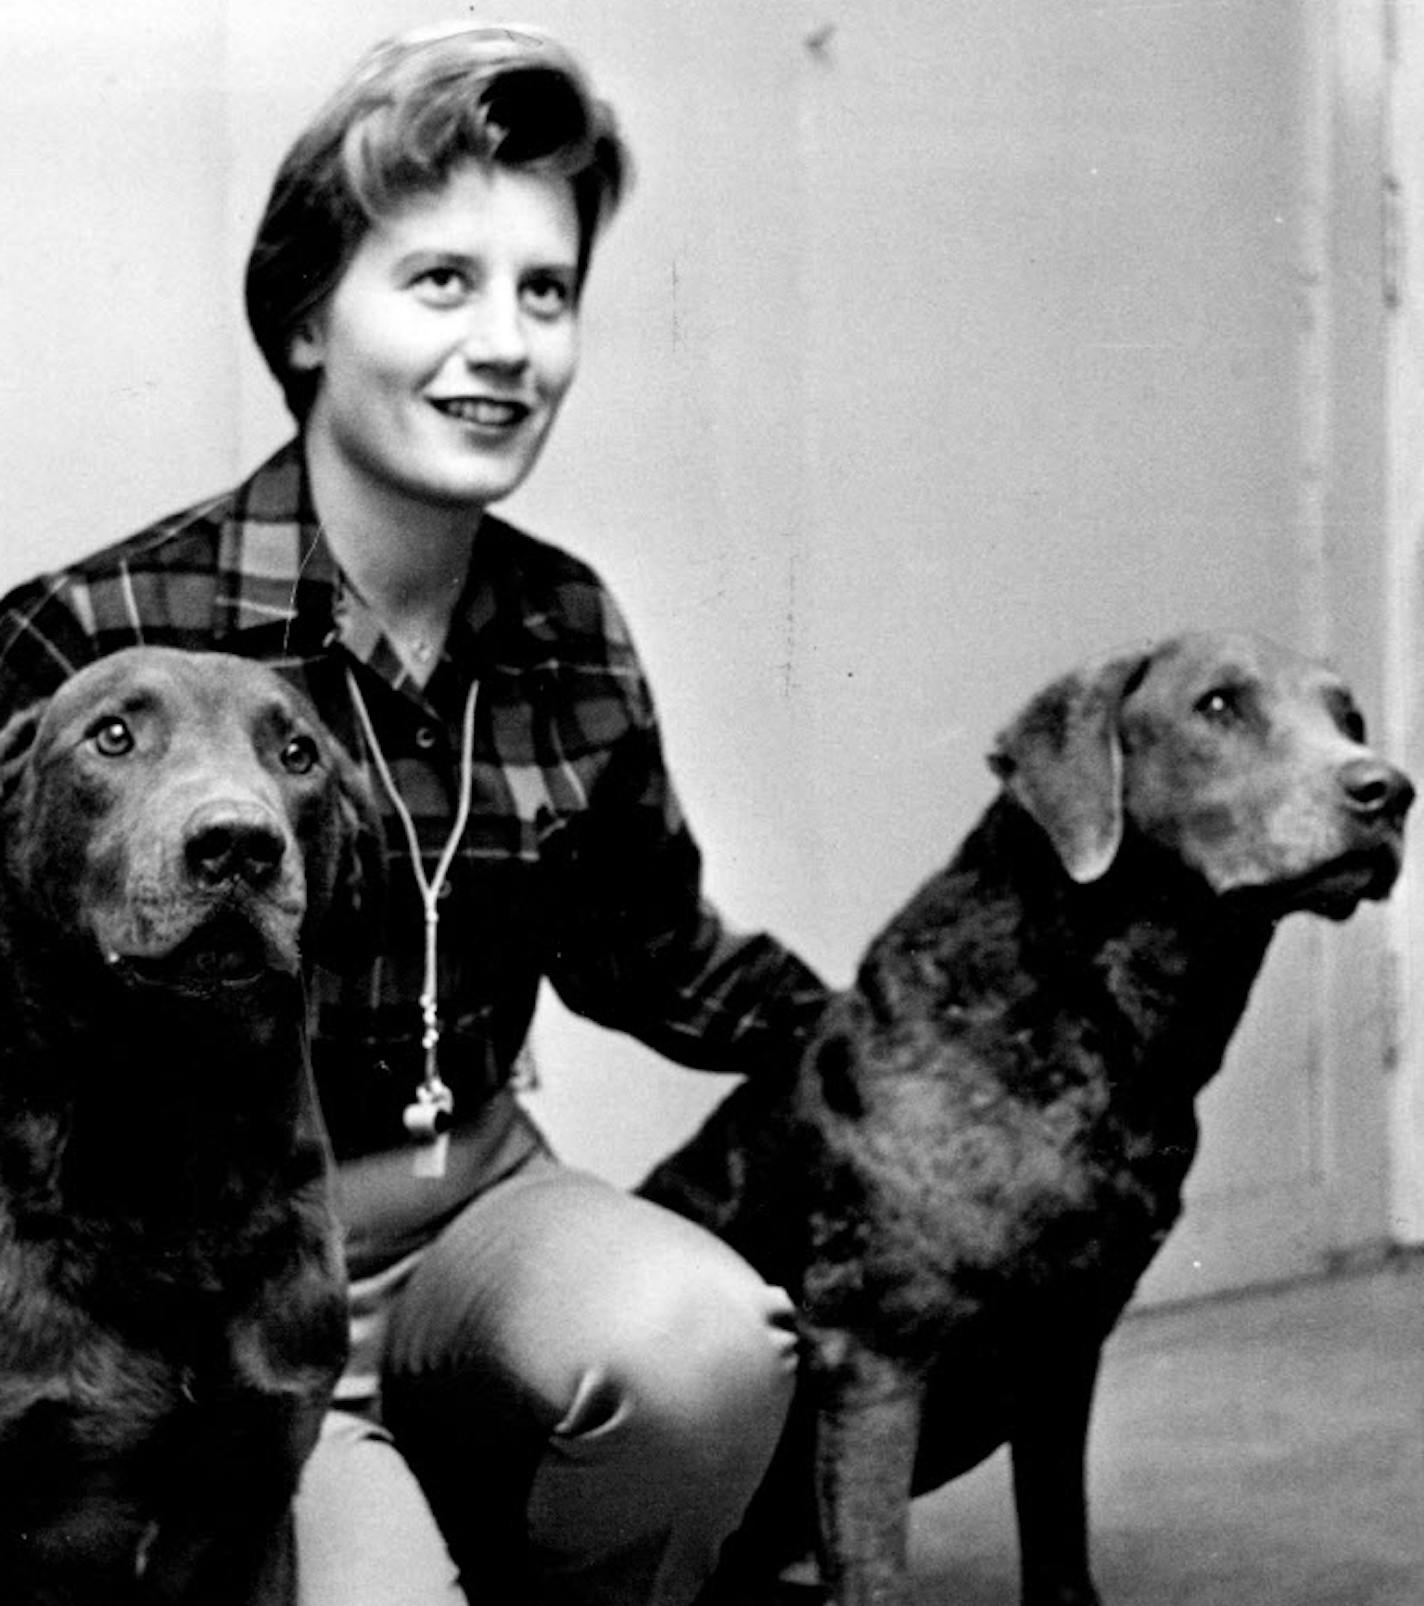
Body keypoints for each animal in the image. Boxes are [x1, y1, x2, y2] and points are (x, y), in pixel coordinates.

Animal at [645, 629, 1412, 1606]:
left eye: (1349, 717)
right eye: (1216, 705)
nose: (1391, 790)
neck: (1083, 1011)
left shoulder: (1066, 1344)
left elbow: (1057, 1534)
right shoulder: (873, 1357)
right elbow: (876, 1568)